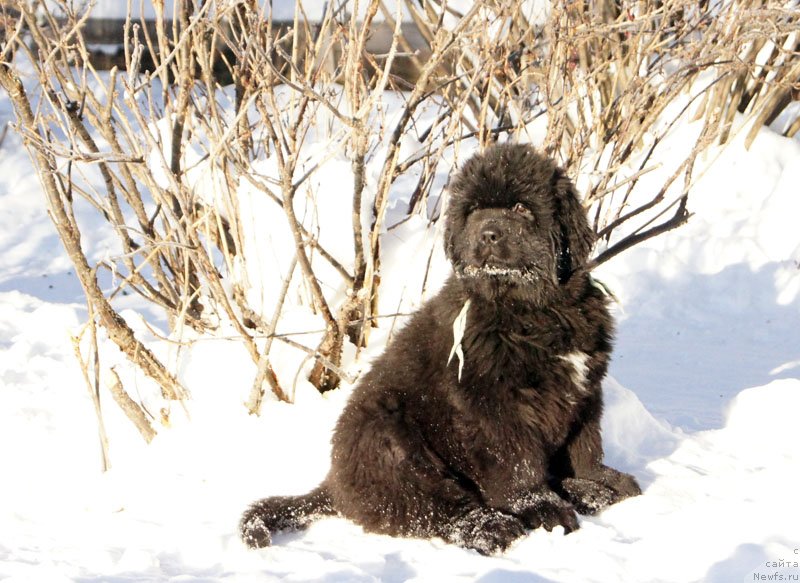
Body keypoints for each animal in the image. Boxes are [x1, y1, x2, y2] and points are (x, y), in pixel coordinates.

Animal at [241, 144, 640, 556]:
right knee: (430, 507)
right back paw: (493, 527)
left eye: (520, 208)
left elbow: (585, 444)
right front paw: (541, 506)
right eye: (473, 211)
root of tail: (334, 485)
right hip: (390, 440)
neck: (531, 310)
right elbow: (517, 463)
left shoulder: (584, 389)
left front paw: (598, 481)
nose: (488, 234)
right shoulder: (493, 405)